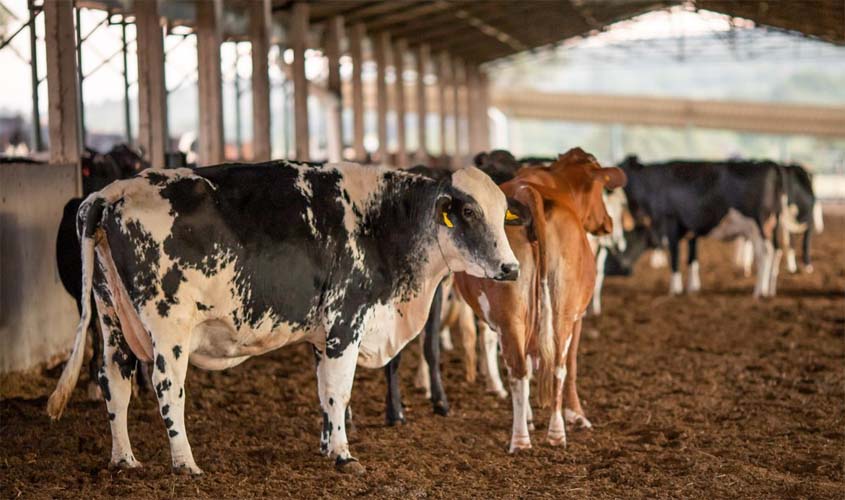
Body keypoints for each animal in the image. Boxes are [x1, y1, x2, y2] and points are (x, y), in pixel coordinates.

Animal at [47, 160, 519, 475]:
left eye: (502, 213)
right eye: (469, 212)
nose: (511, 268)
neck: (383, 222)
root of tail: (110, 193)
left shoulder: (322, 333)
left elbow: (324, 391)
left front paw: (328, 445)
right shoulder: (346, 320)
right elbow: (339, 391)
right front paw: (344, 456)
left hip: (111, 317)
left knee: (115, 380)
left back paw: (124, 459)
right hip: (168, 326)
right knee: (167, 386)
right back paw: (185, 464)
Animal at [454, 148, 626, 452]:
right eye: (599, 190)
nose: (607, 223)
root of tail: (528, 193)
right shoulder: (577, 317)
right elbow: (572, 365)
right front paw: (577, 415)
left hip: (518, 315)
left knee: (530, 368)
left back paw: (540, 434)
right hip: (558, 314)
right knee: (548, 367)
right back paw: (532, 436)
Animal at [618, 156, 784, 298]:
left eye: (621, 167)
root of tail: (768, 163)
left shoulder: (671, 221)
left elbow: (675, 256)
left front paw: (674, 290)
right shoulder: (692, 229)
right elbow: (692, 258)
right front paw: (692, 288)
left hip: (759, 225)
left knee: (764, 254)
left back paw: (759, 291)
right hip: (772, 224)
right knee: (775, 251)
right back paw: (770, 290)